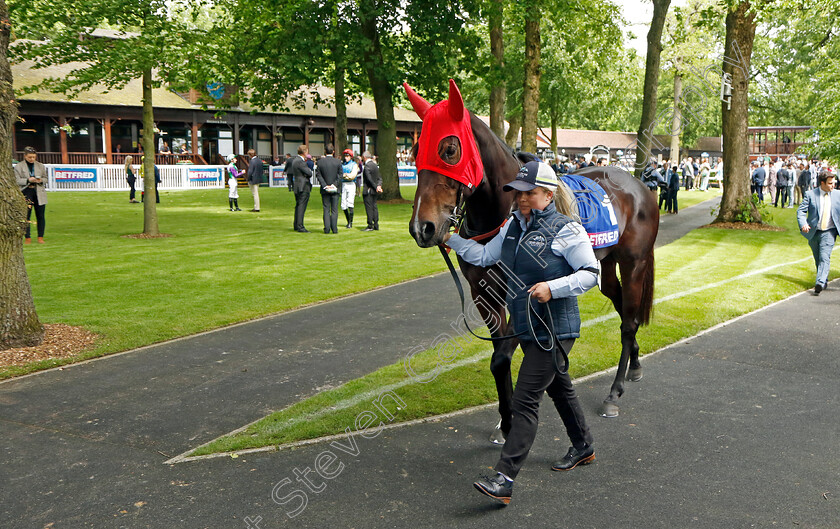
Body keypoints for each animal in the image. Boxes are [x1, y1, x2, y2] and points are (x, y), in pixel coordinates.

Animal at [404, 77, 660, 438]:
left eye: (450, 150)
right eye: (415, 152)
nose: (422, 227)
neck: (504, 212)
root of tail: (640, 185)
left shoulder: (525, 291)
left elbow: (502, 356)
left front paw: (512, 418)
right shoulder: (483, 293)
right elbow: (500, 354)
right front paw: (505, 417)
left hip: (634, 262)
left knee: (629, 321)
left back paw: (614, 392)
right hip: (605, 266)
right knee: (623, 303)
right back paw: (635, 364)